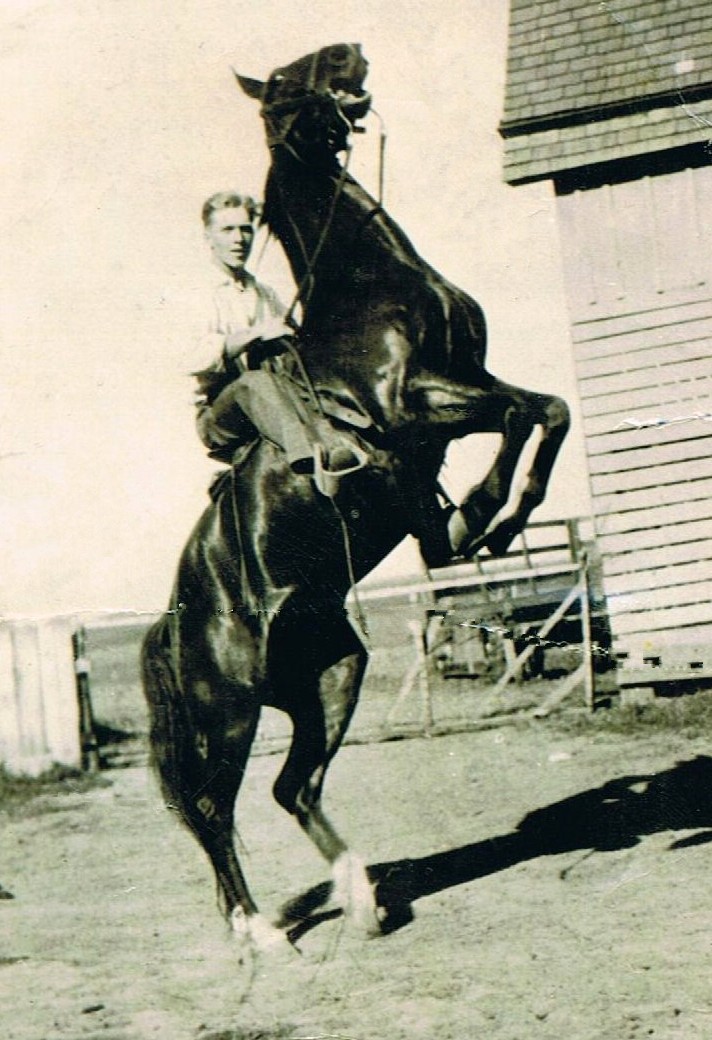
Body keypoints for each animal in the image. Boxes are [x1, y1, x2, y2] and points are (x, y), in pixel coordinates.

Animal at [141, 38, 569, 952]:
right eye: (283, 83)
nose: (350, 53)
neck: (369, 284)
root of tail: (173, 620)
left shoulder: (466, 384)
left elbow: (546, 408)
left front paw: (495, 517)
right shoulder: (412, 406)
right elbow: (522, 413)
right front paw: (485, 509)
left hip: (333, 677)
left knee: (293, 789)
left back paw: (363, 901)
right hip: (230, 713)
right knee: (216, 808)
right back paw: (259, 933)